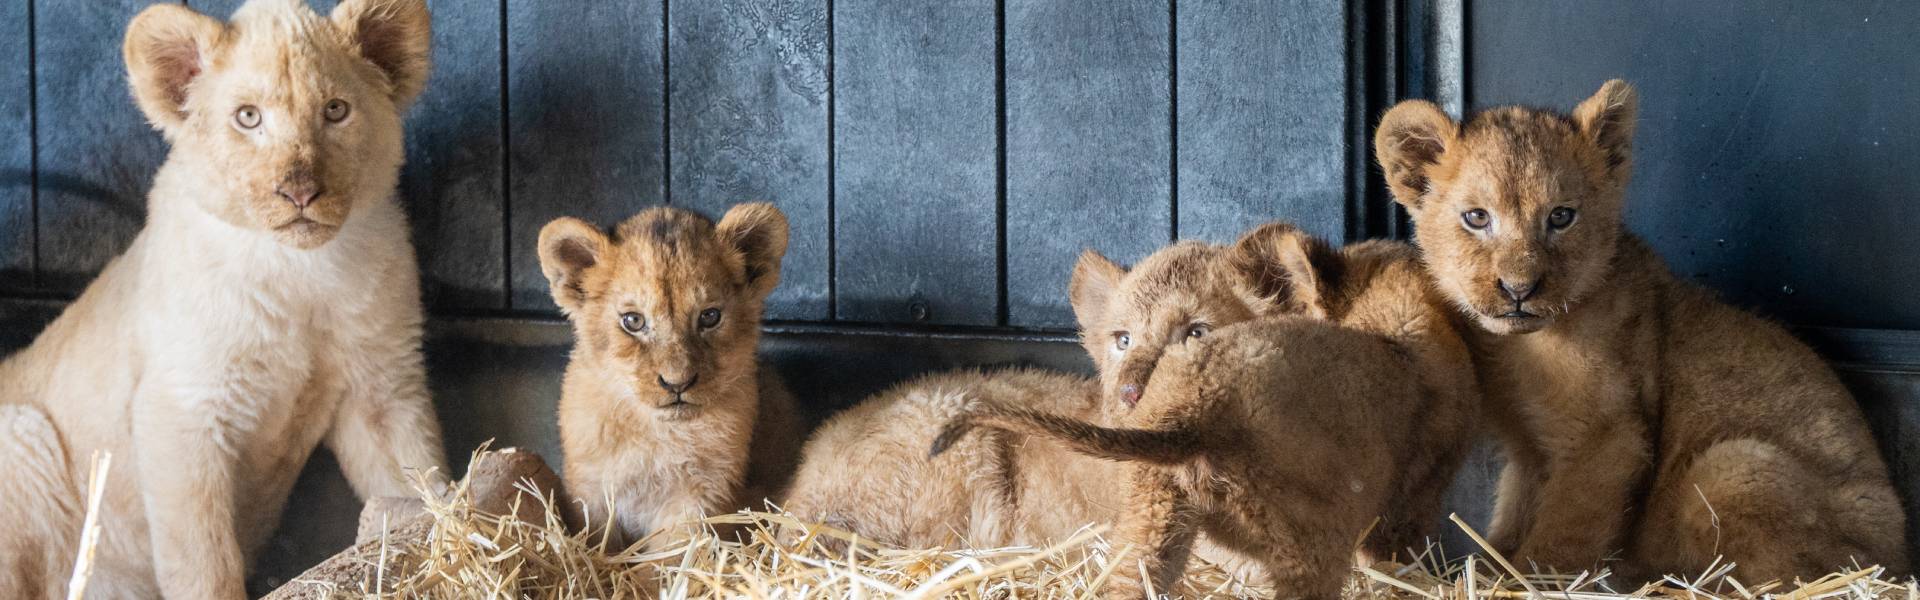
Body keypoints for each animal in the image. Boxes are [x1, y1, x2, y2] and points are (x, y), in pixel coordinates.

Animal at [0, 1, 445, 598]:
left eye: (335, 110)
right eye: (248, 117)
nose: (300, 192)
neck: (300, 272)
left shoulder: (383, 386)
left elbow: (423, 485)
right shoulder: (181, 410)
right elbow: (204, 561)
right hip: (21, 436)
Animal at [537, 203, 805, 550]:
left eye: (709, 316)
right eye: (633, 321)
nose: (678, 383)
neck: (658, 433)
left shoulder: (702, 493)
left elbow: (672, 553)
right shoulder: (591, 489)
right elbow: (598, 544)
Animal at [1374, 79, 1908, 582]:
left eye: (1561, 217)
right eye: (1476, 218)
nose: (1519, 289)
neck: (1521, 347)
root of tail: (1899, 558)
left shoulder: (1610, 435)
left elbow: (1563, 533)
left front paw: (1532, 577)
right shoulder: (1530, 448)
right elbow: (1513, 516)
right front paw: (1491, 570)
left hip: (1733, 467)